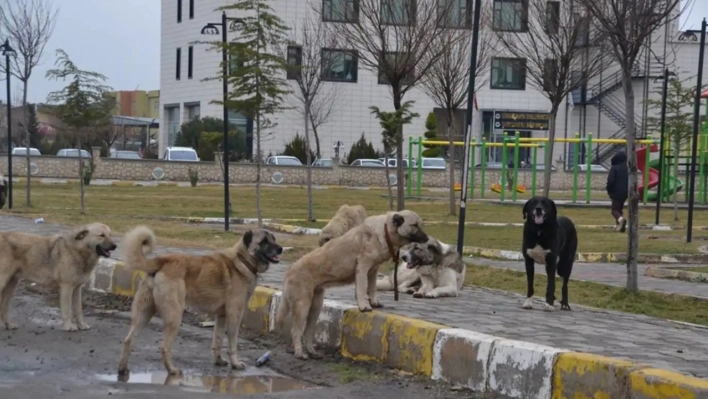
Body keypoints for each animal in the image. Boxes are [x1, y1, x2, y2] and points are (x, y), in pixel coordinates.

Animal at [117, 227, 282, 376]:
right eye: (264, 242)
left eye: (273, 238)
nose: (280, 249)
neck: (242, 259)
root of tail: (162, 260)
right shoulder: (234, 315)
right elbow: (232, 344)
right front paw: (235, 363)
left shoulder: (221, 317)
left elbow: (217, 340)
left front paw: (218, 360)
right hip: (174, 317)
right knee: (164, 347)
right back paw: (172, 370)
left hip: (144, 314)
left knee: (128, 340)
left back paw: (123, 369)